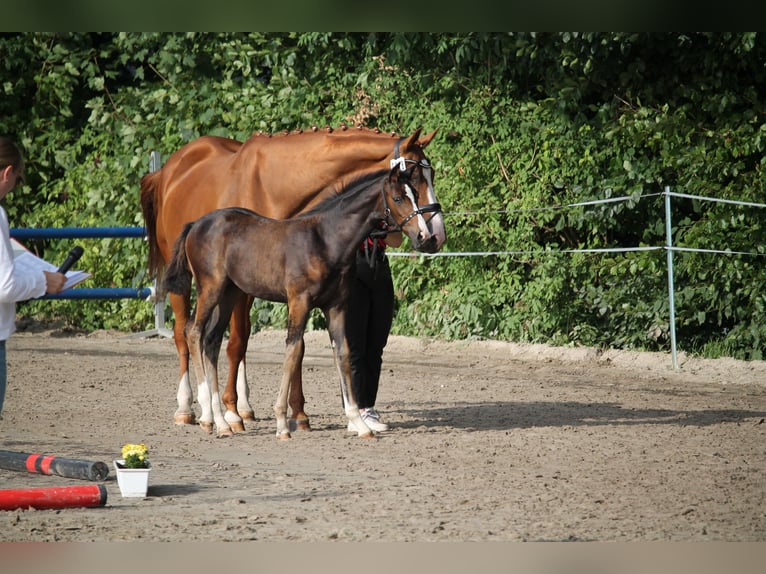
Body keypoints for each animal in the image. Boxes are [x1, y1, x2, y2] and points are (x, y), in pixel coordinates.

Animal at [140, 126, 446, 433]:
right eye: (405, 190)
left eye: (427, 177)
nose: (430, 236)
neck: (323, 236)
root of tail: (195, 224)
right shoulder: (296, 300)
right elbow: (283, 348)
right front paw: (274, 420)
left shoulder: (332, 305)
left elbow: (334, 351)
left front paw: (338, 420)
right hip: (203, 287)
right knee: (189, 332)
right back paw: (200, 412)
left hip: (228, 292)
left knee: (211, 340)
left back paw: (222, 418)